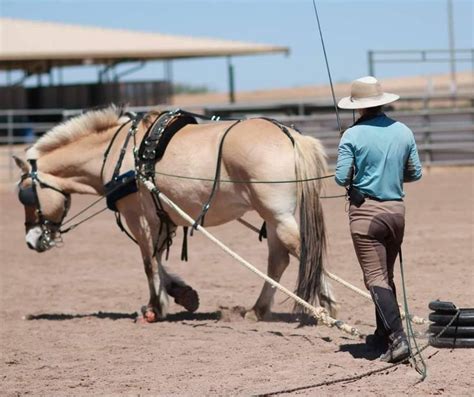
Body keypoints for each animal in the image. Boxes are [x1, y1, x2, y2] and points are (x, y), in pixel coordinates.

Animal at [12, 105, 336, 322]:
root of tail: (290, 135)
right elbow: (158, 259)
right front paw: (182, 294)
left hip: (277, 214)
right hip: (272, 217)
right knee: (279, 259)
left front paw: (155, 308)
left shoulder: (138, 216)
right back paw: (258, 309)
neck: (119, 153)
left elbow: (148, 262)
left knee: (304, 250)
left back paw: (325, 304)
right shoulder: (162, 216)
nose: (31, 240)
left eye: (25, 193)